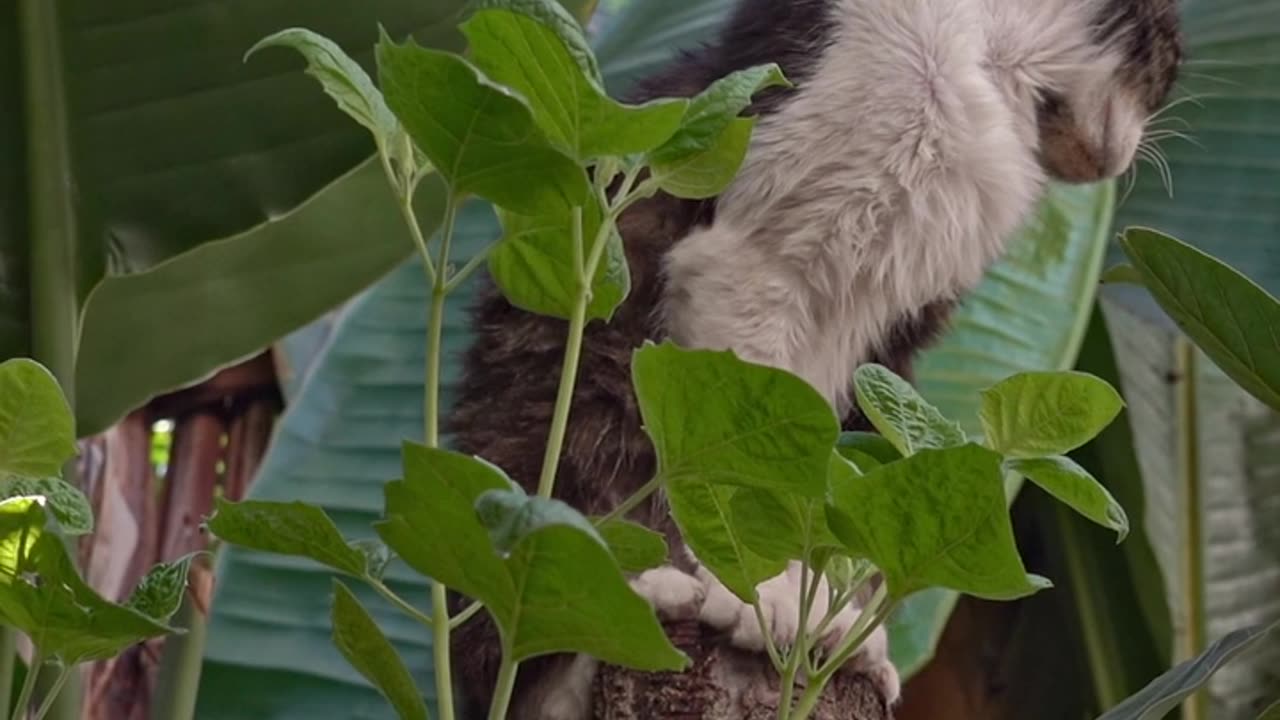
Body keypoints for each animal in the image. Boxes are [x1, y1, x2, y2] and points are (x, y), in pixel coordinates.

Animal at [448, 1, 1177, 712]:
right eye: (1167, 71)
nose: (1126, 160)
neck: (989, 51)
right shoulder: (759, 263)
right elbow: (748, 459)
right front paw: (757, 593)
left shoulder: (883, 347)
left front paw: (829, 619)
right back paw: (650, 595)